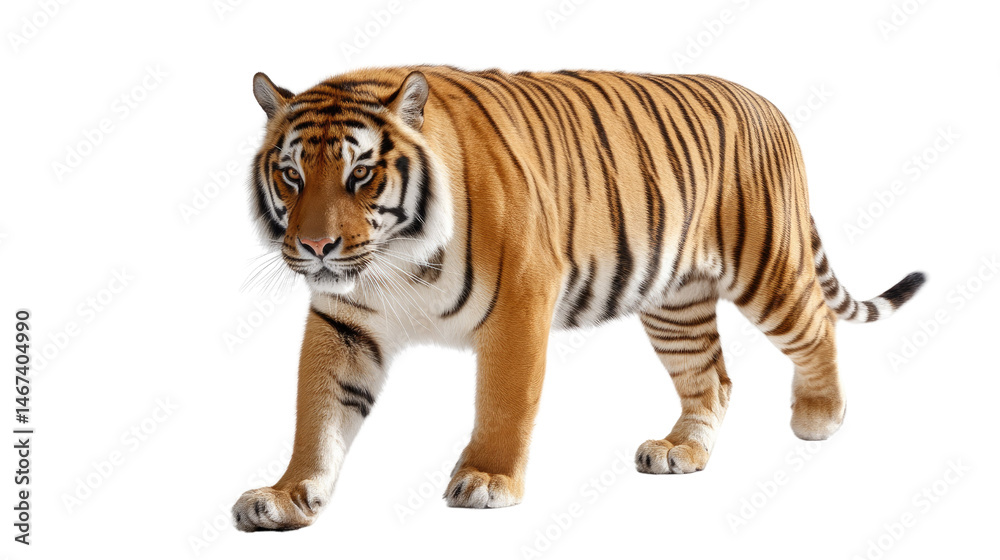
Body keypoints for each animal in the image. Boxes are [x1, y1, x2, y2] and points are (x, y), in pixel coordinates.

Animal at [231, 65, 925, 531]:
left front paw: (487, 479)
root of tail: (769, 104)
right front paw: (287, 495)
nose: (316, 246)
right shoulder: (344, 324)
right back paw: (682, 452)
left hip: (767, 266)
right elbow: (318, 413)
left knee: (817, 325)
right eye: (291, 175)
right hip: (676, 305)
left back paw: (819, 415)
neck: (394, 261)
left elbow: (504, 402)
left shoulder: (518, 300)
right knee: (713, 379)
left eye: (361, 174)